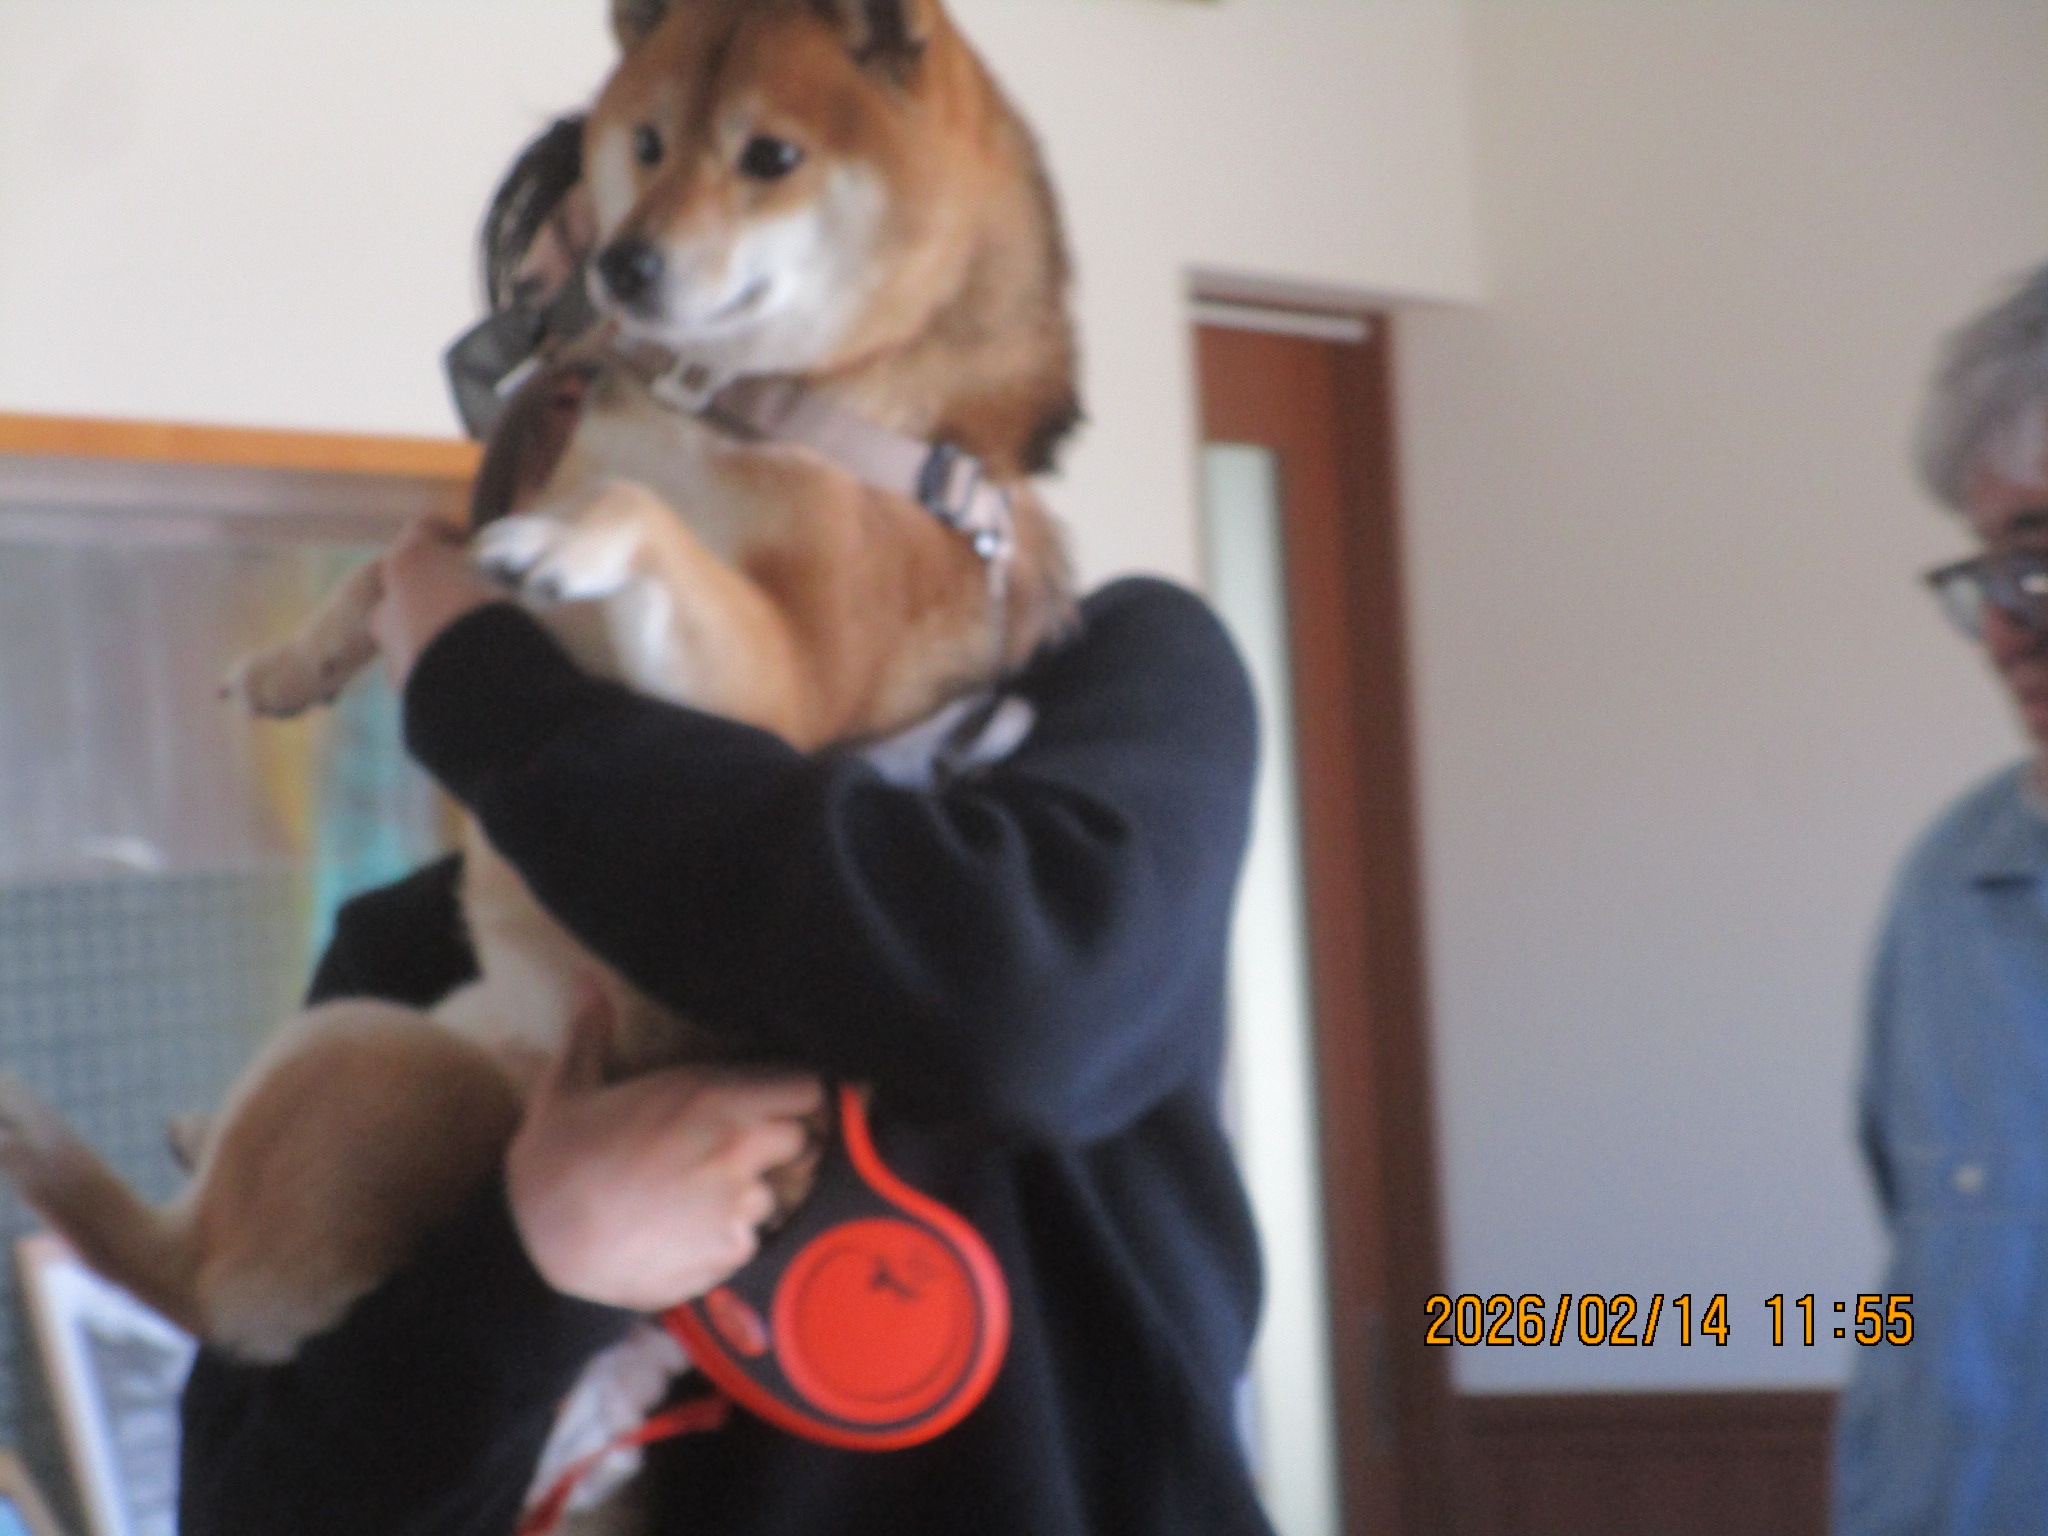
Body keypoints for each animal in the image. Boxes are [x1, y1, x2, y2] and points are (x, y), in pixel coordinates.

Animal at [0, 0, 1077, 1398]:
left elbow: (621, 515)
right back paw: (182, 1134)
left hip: (366, 1053)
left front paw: (564, 545)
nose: (620, 268)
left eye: (771, 157)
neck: (760, 407)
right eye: (649, 142)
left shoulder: (782, 694)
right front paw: (298, 662)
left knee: (162, 1262)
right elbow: (394, 553)